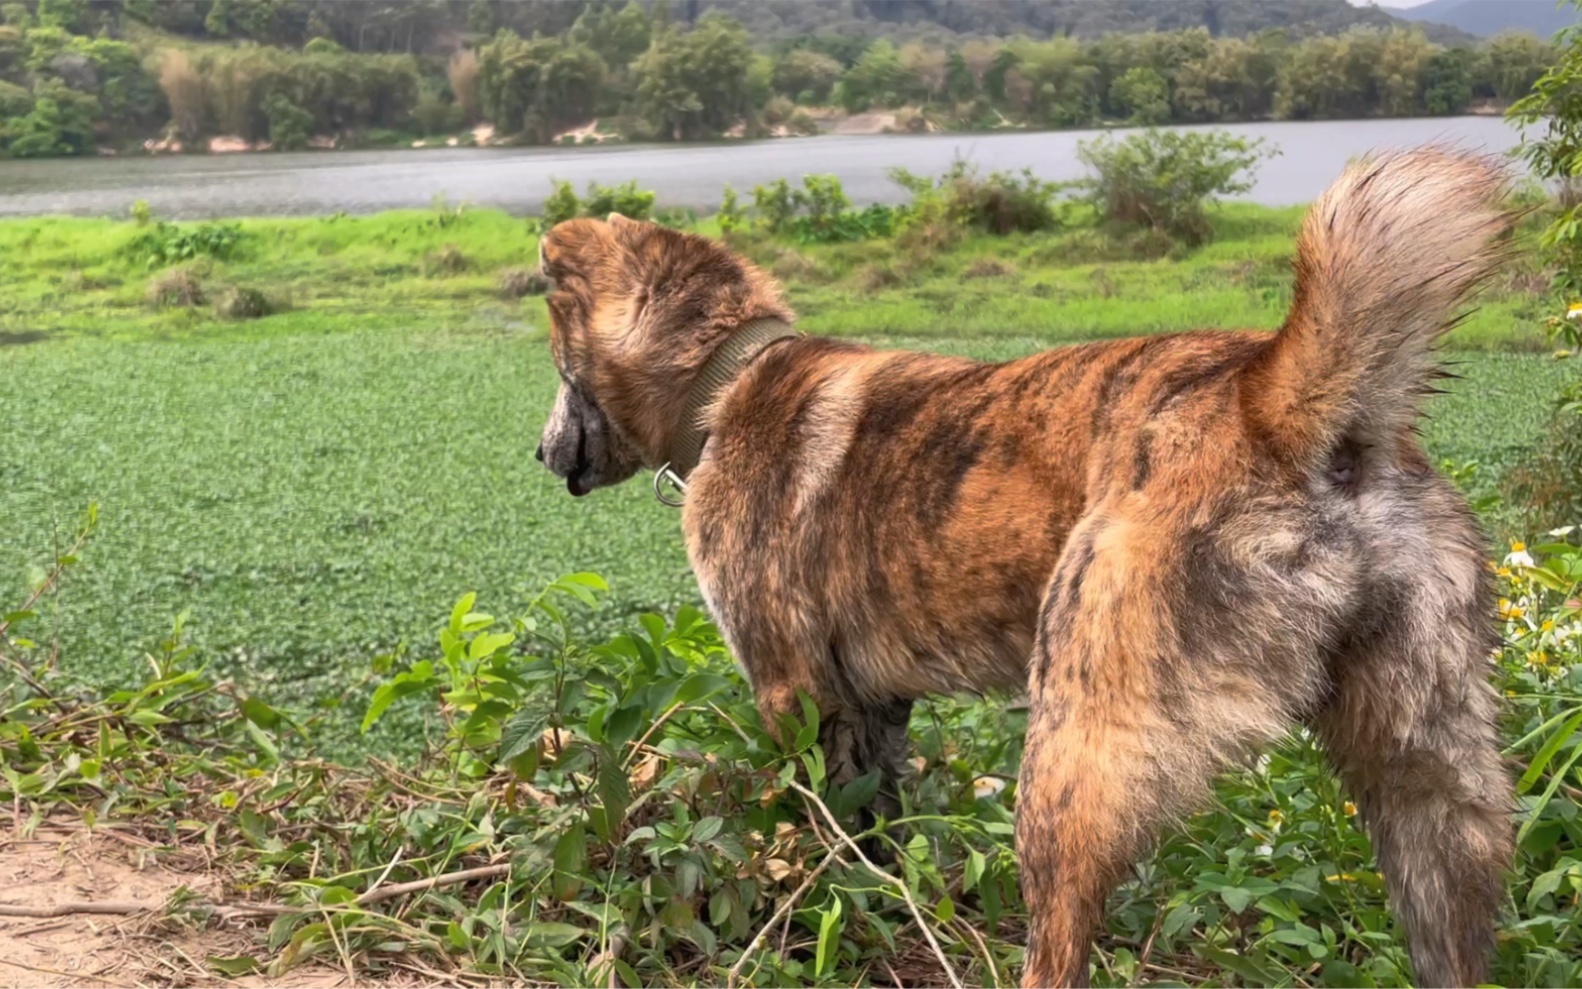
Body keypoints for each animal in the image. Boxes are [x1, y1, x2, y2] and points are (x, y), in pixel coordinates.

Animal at [537, 148, 1512, 987]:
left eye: (557, 360)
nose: (541, 453)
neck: (727, 378)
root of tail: (1275, 402)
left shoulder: (791, 691)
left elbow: (808, 825)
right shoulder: (875, 708)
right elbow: (872, 833)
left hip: (1072, 760)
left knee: (1060, 943)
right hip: (1438, 792)